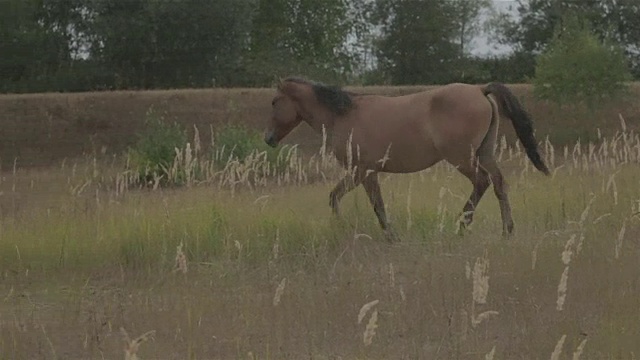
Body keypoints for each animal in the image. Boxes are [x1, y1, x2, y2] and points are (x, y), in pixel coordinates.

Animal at [264, 77, 552, 242]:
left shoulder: (361, 171)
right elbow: (364, 201)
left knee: (482, 182)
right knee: (499, 183)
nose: (268, 138)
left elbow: (355, 201)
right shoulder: (369, 173)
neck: (342, 115)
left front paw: (378, 234)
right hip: (484, 152)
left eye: (275, 101)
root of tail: (480, 90)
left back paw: (461, 226)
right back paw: (507, 230)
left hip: (462, 158)